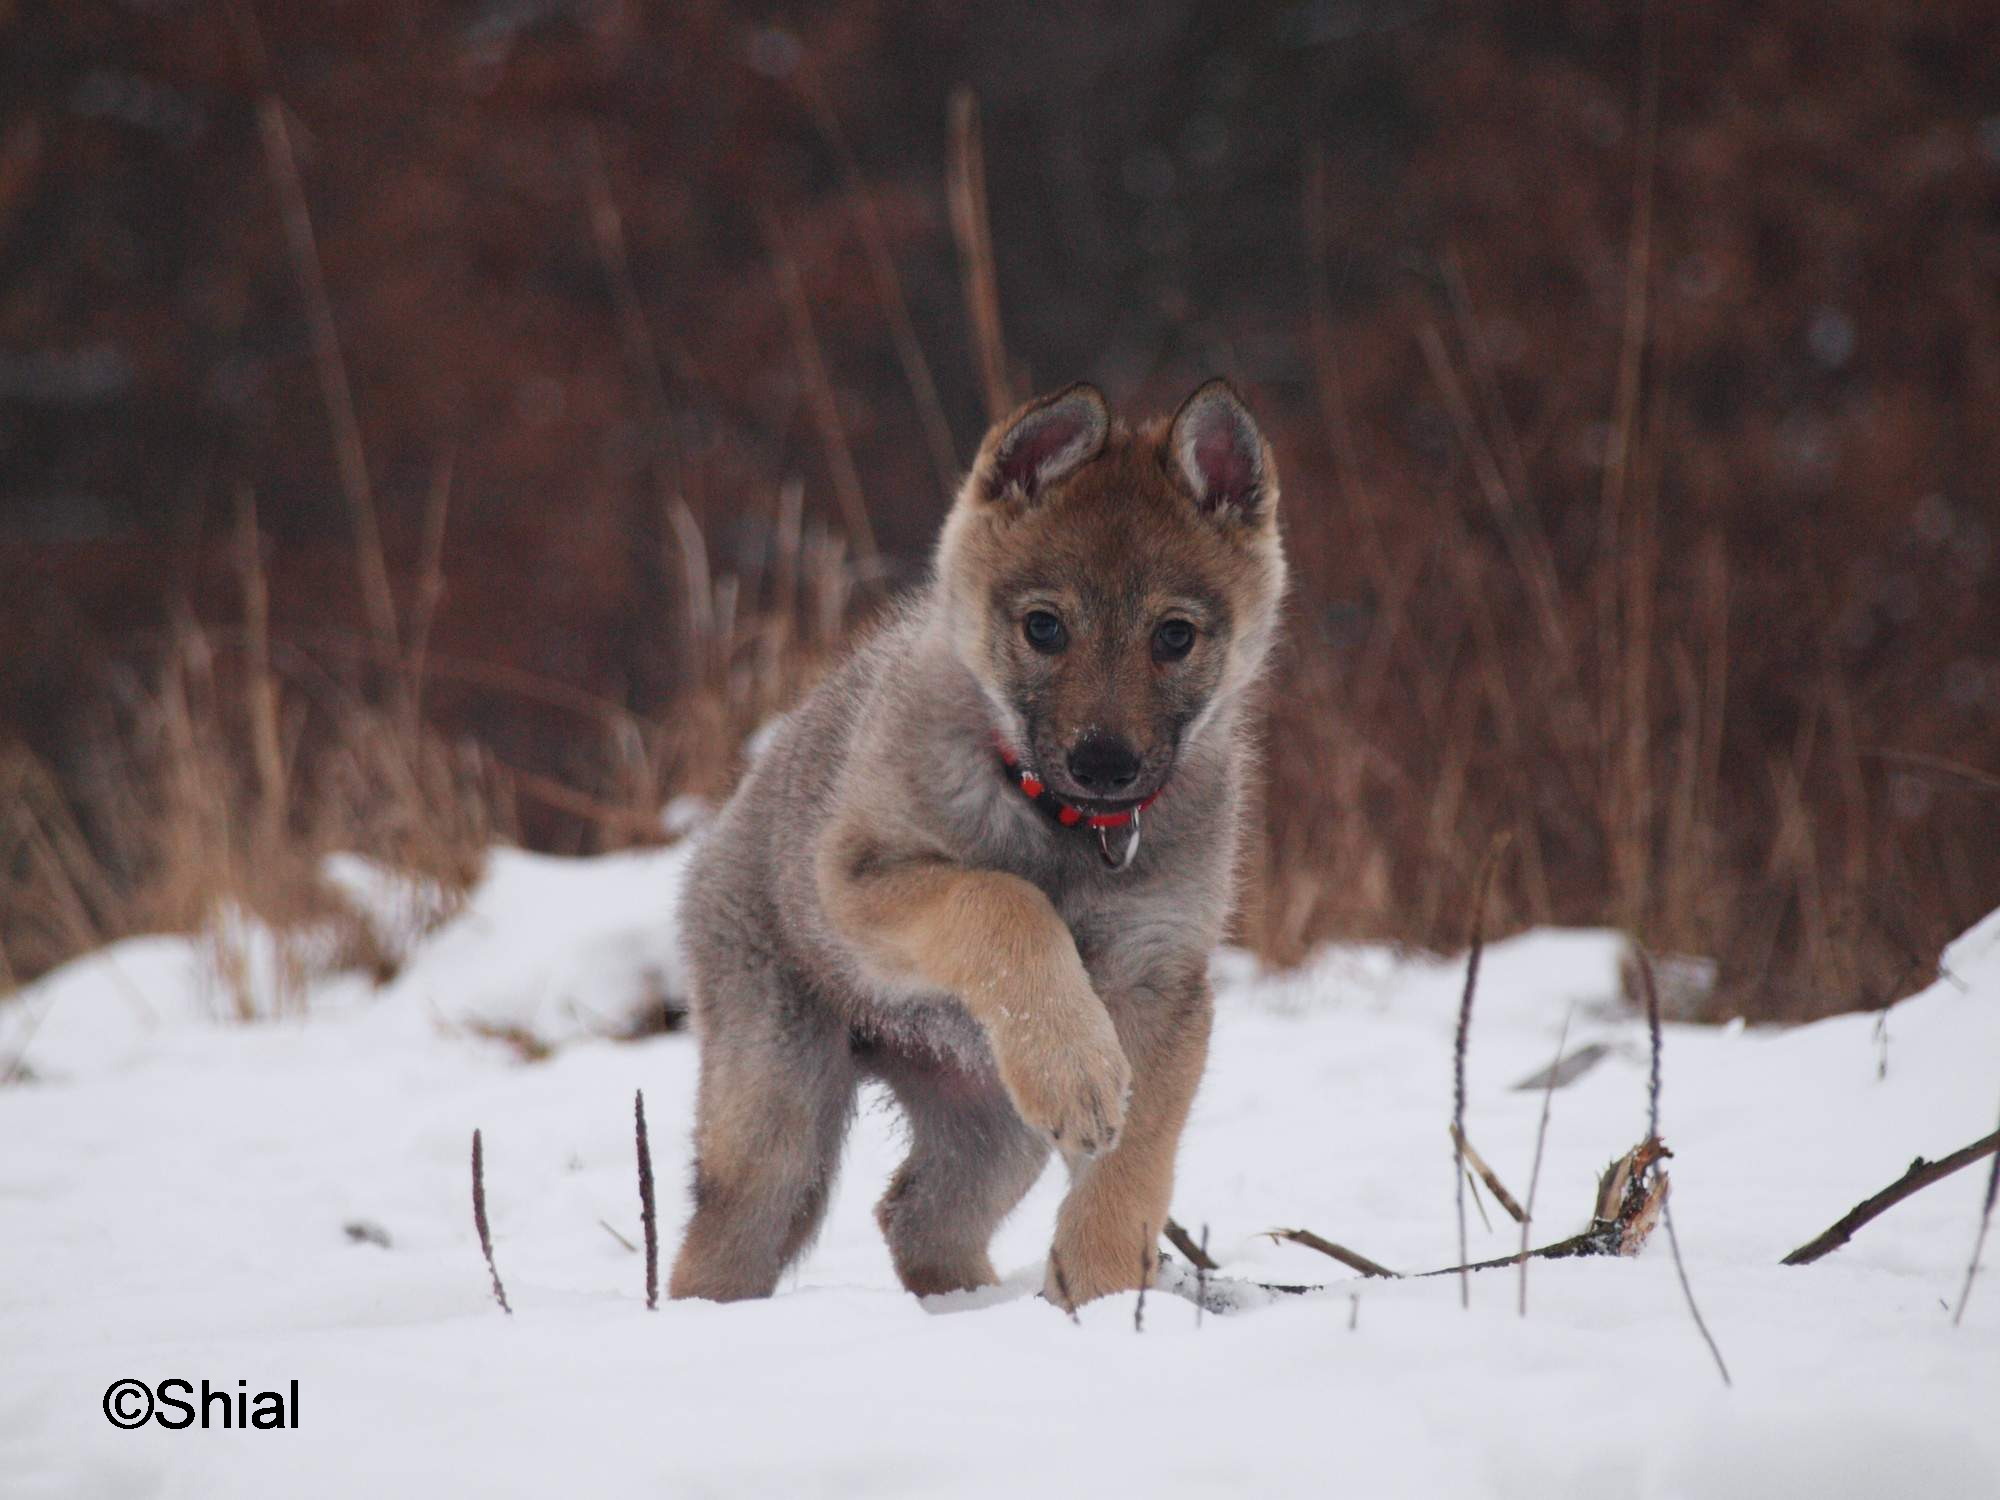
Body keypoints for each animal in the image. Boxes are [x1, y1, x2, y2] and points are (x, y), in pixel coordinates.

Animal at [668, 382, 1280, 1312]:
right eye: (1044, 627)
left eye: (1175, 637)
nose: (1106, 765)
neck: (1063, 828)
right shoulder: (861, 882)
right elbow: (1000, 898)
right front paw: (1070, 1063)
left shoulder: (1158, 985)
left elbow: (1131, 1166)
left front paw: (1105, 1300)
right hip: (777, 1119)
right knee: (728, 1237)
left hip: (994, 1128)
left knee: (916, 1213)